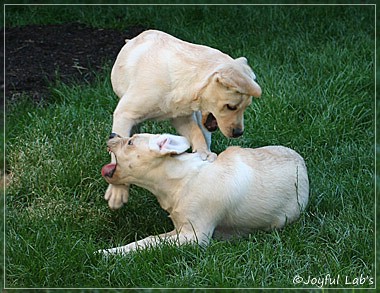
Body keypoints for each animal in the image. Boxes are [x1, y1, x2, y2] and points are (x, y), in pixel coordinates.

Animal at [98, 132, 308, 253]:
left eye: (130, 142)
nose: (112, 134)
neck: (178, 179)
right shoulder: (180, 228)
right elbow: (151, 239)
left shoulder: (195, 236)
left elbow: (147, 244)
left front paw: (105, 254)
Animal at [105, 29, 262, 209]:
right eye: (231, 107)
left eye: (246, 106)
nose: (238, 133)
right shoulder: (124, 114)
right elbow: (117, 156)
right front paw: (117, 191)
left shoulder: (182, 118)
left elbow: (196, 134)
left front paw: (202, 152)